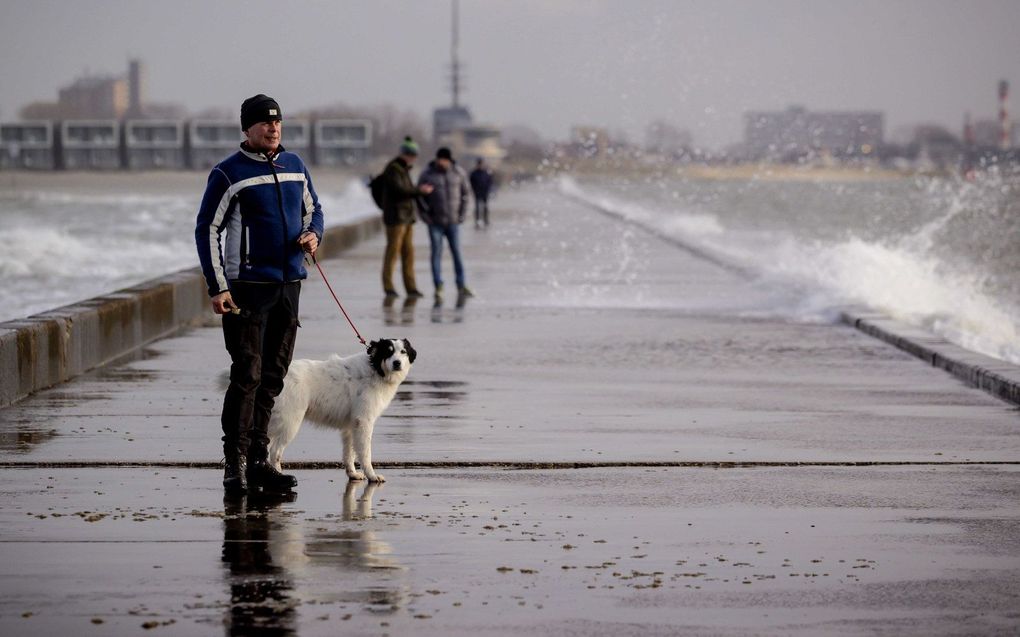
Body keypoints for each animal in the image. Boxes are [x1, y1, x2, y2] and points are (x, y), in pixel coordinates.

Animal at [265, 338, 416, 481]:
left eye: (403, 352)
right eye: (388, 352)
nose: (397, 363)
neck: (376, 370)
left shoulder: (351, 426)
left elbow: (349, 454)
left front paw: (352, 474)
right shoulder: (364, 422)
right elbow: (365, 453)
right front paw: (372, 476)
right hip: (290, 422)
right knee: (275, 451)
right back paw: (279, 474)